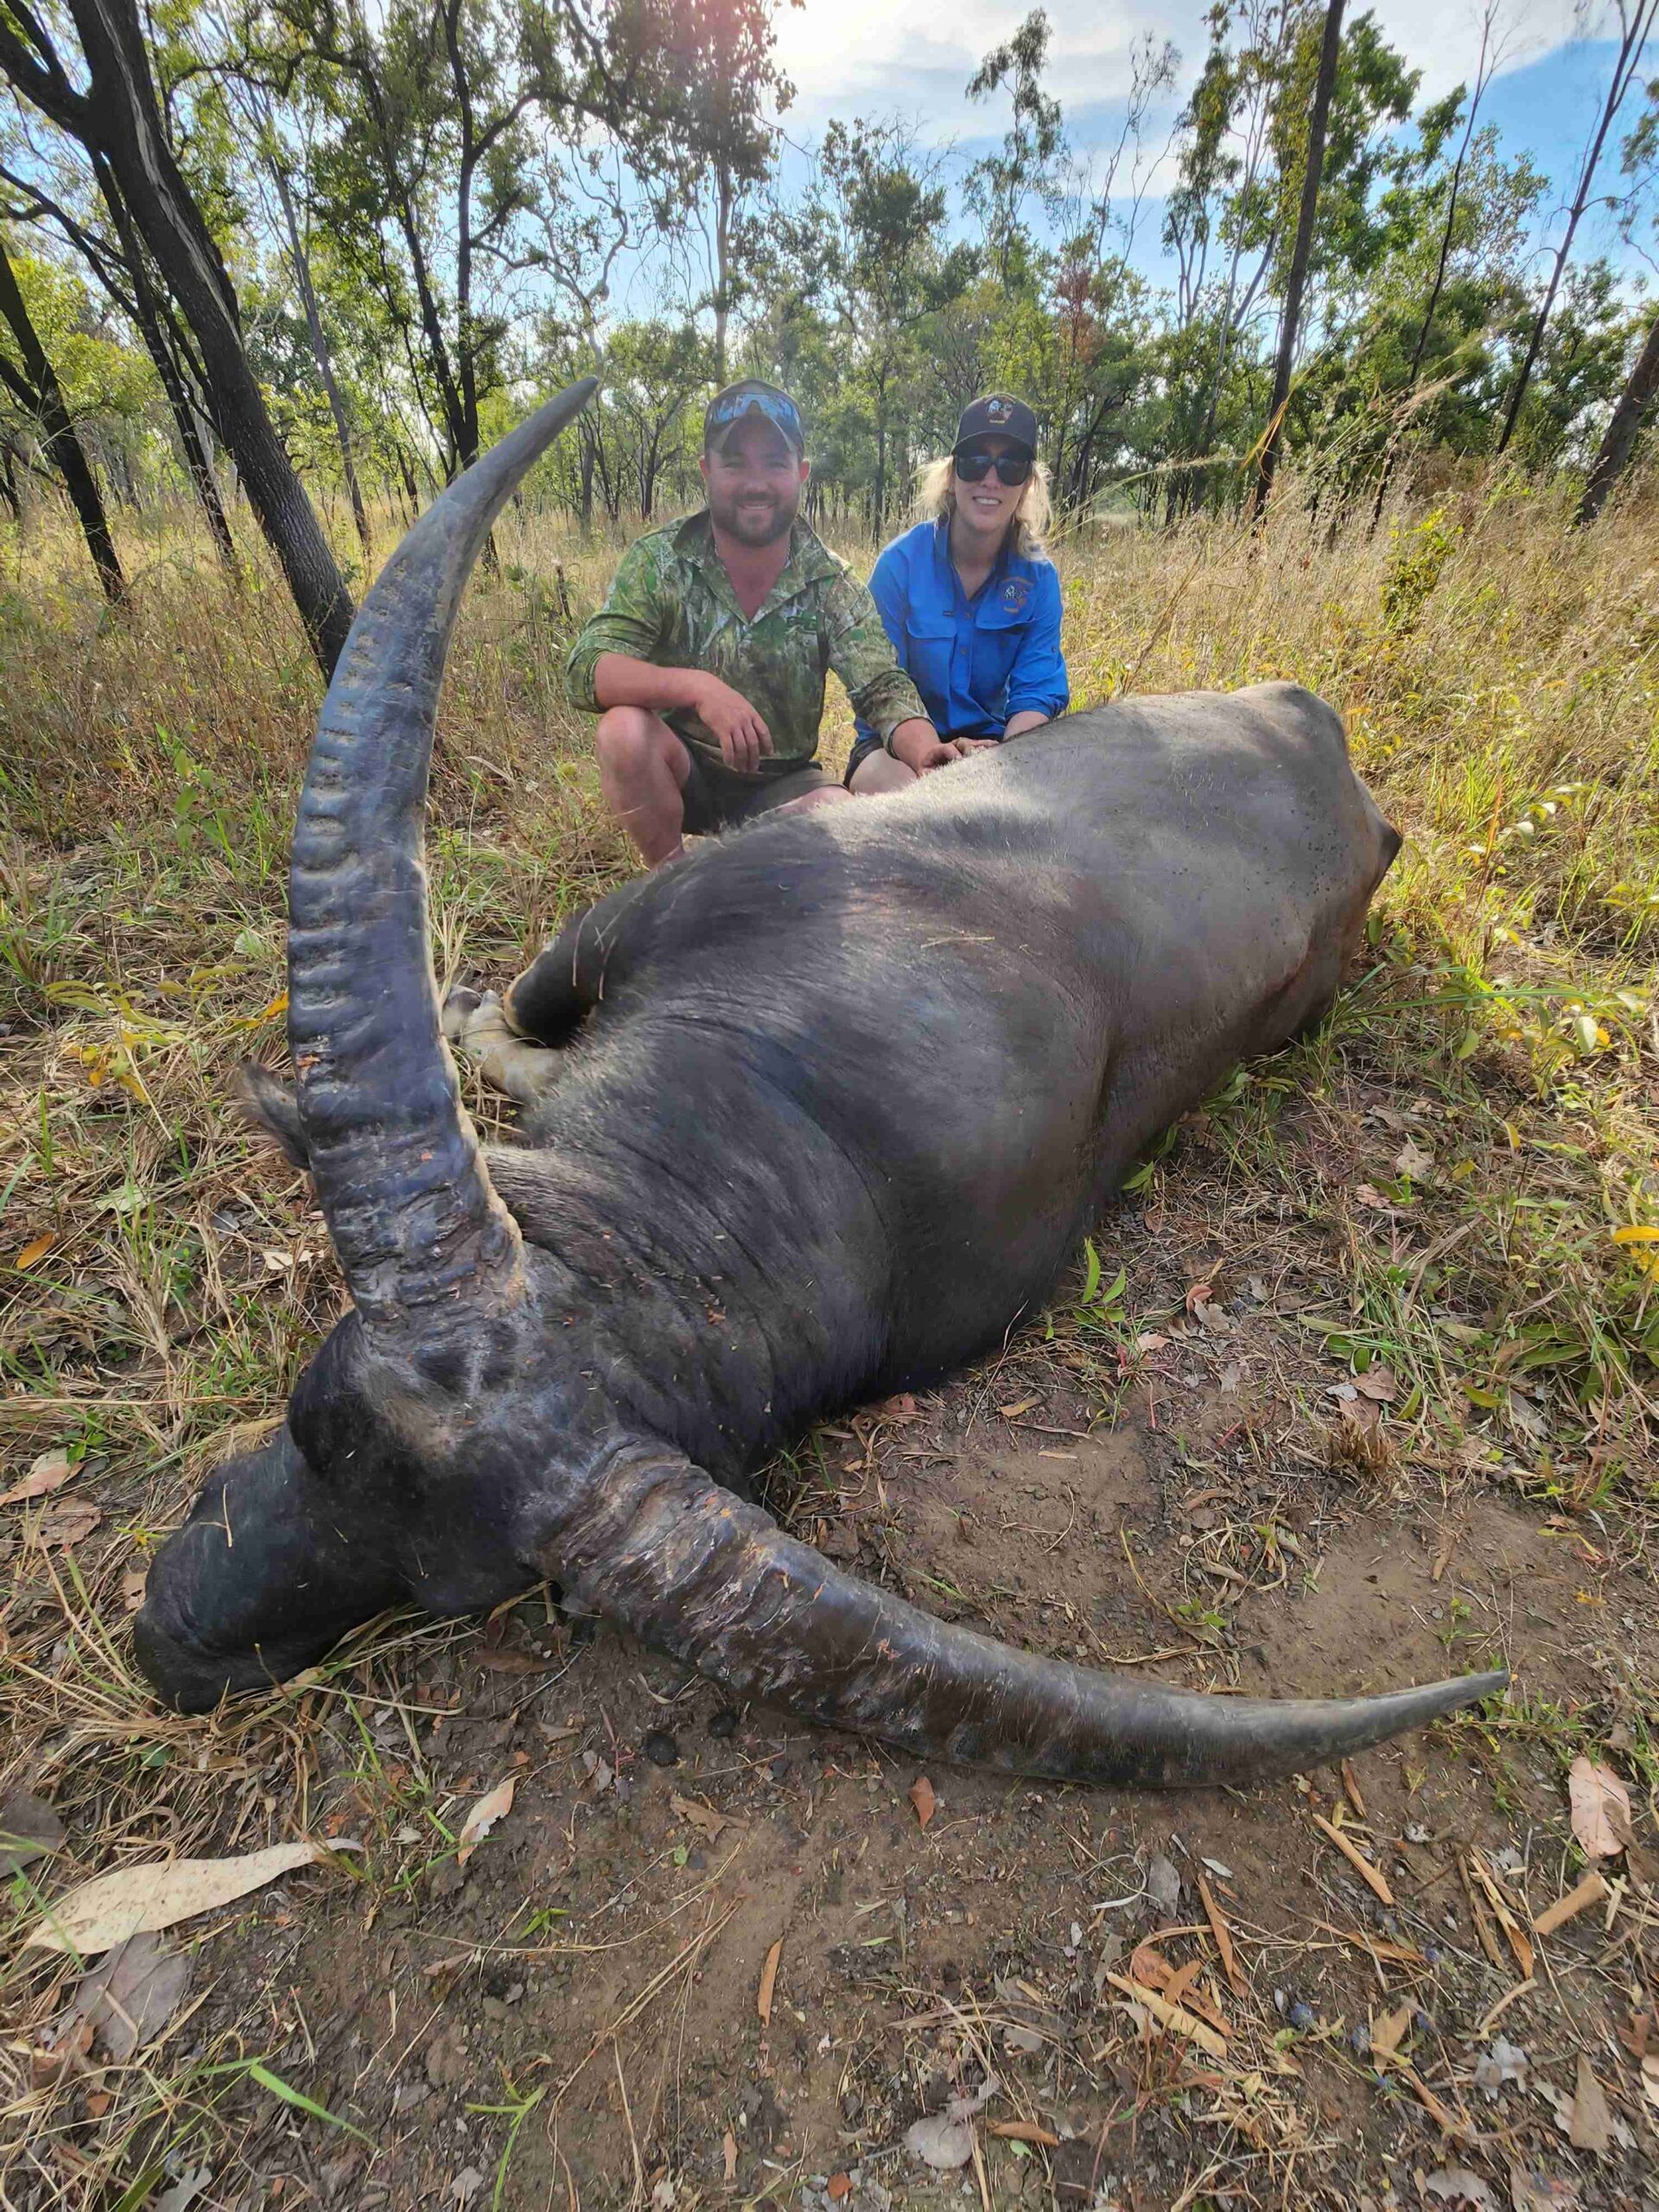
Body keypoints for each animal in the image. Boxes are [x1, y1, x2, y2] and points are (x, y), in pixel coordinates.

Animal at [134, 380, 1504, 1784]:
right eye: (318, 1415)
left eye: (444, 1586)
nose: (171, 1642)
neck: (796, 1105)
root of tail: (1333, 757)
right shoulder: (623, 925)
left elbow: (504, 1031)